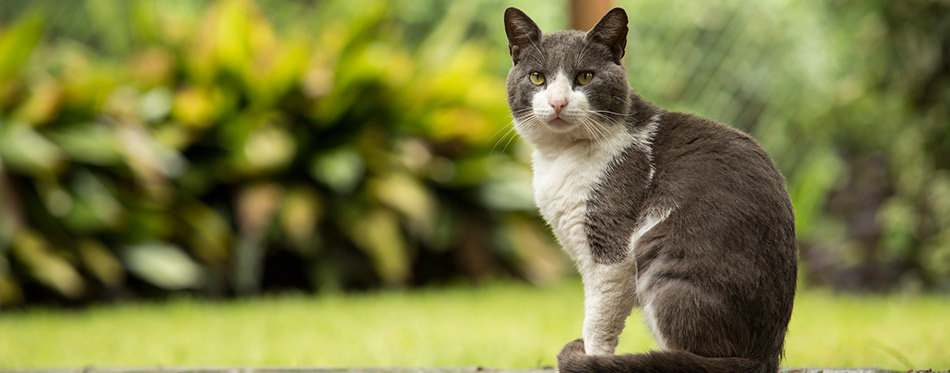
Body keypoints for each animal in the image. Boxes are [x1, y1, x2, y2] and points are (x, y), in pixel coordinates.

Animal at [502, 6, 800, 372]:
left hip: (662, 264)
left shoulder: (611, 250)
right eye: (537, 78)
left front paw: (591, 356)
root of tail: (764, 355)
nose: (558, 102)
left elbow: (598, 321)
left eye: (584, 77)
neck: (560, 157)